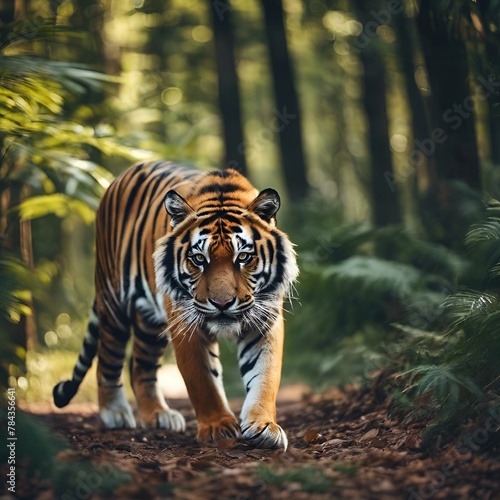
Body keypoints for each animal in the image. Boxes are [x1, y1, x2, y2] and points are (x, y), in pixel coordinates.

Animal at [53, 160, 298, 450]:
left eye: (243, 257)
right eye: (199, 258)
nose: (222, 303)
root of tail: (122, 175)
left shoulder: (264, 320)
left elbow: (264, 376)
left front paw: (263, 426)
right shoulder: (186, 323)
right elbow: (203, 381)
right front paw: (218, 427)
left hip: (150, 322)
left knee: (141, 365)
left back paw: (159, 415)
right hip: (113, 303)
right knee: (108, 358)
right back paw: (115, 412)